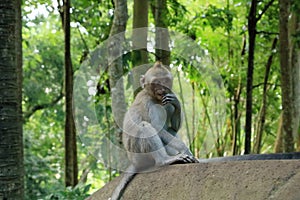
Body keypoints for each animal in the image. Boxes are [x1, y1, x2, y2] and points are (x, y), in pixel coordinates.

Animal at [109, 61, 198, 199]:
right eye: (156, 82)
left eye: (165, 81)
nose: (162, 89)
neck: (155, 98)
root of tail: (134, 162)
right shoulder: (151, 105)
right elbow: (157, 128)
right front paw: (185, 149)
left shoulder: (166, 101)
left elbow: (174, 126)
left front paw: (177, 102)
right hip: (139, 155)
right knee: (144, 127)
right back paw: (165, 160)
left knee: (171, 130)